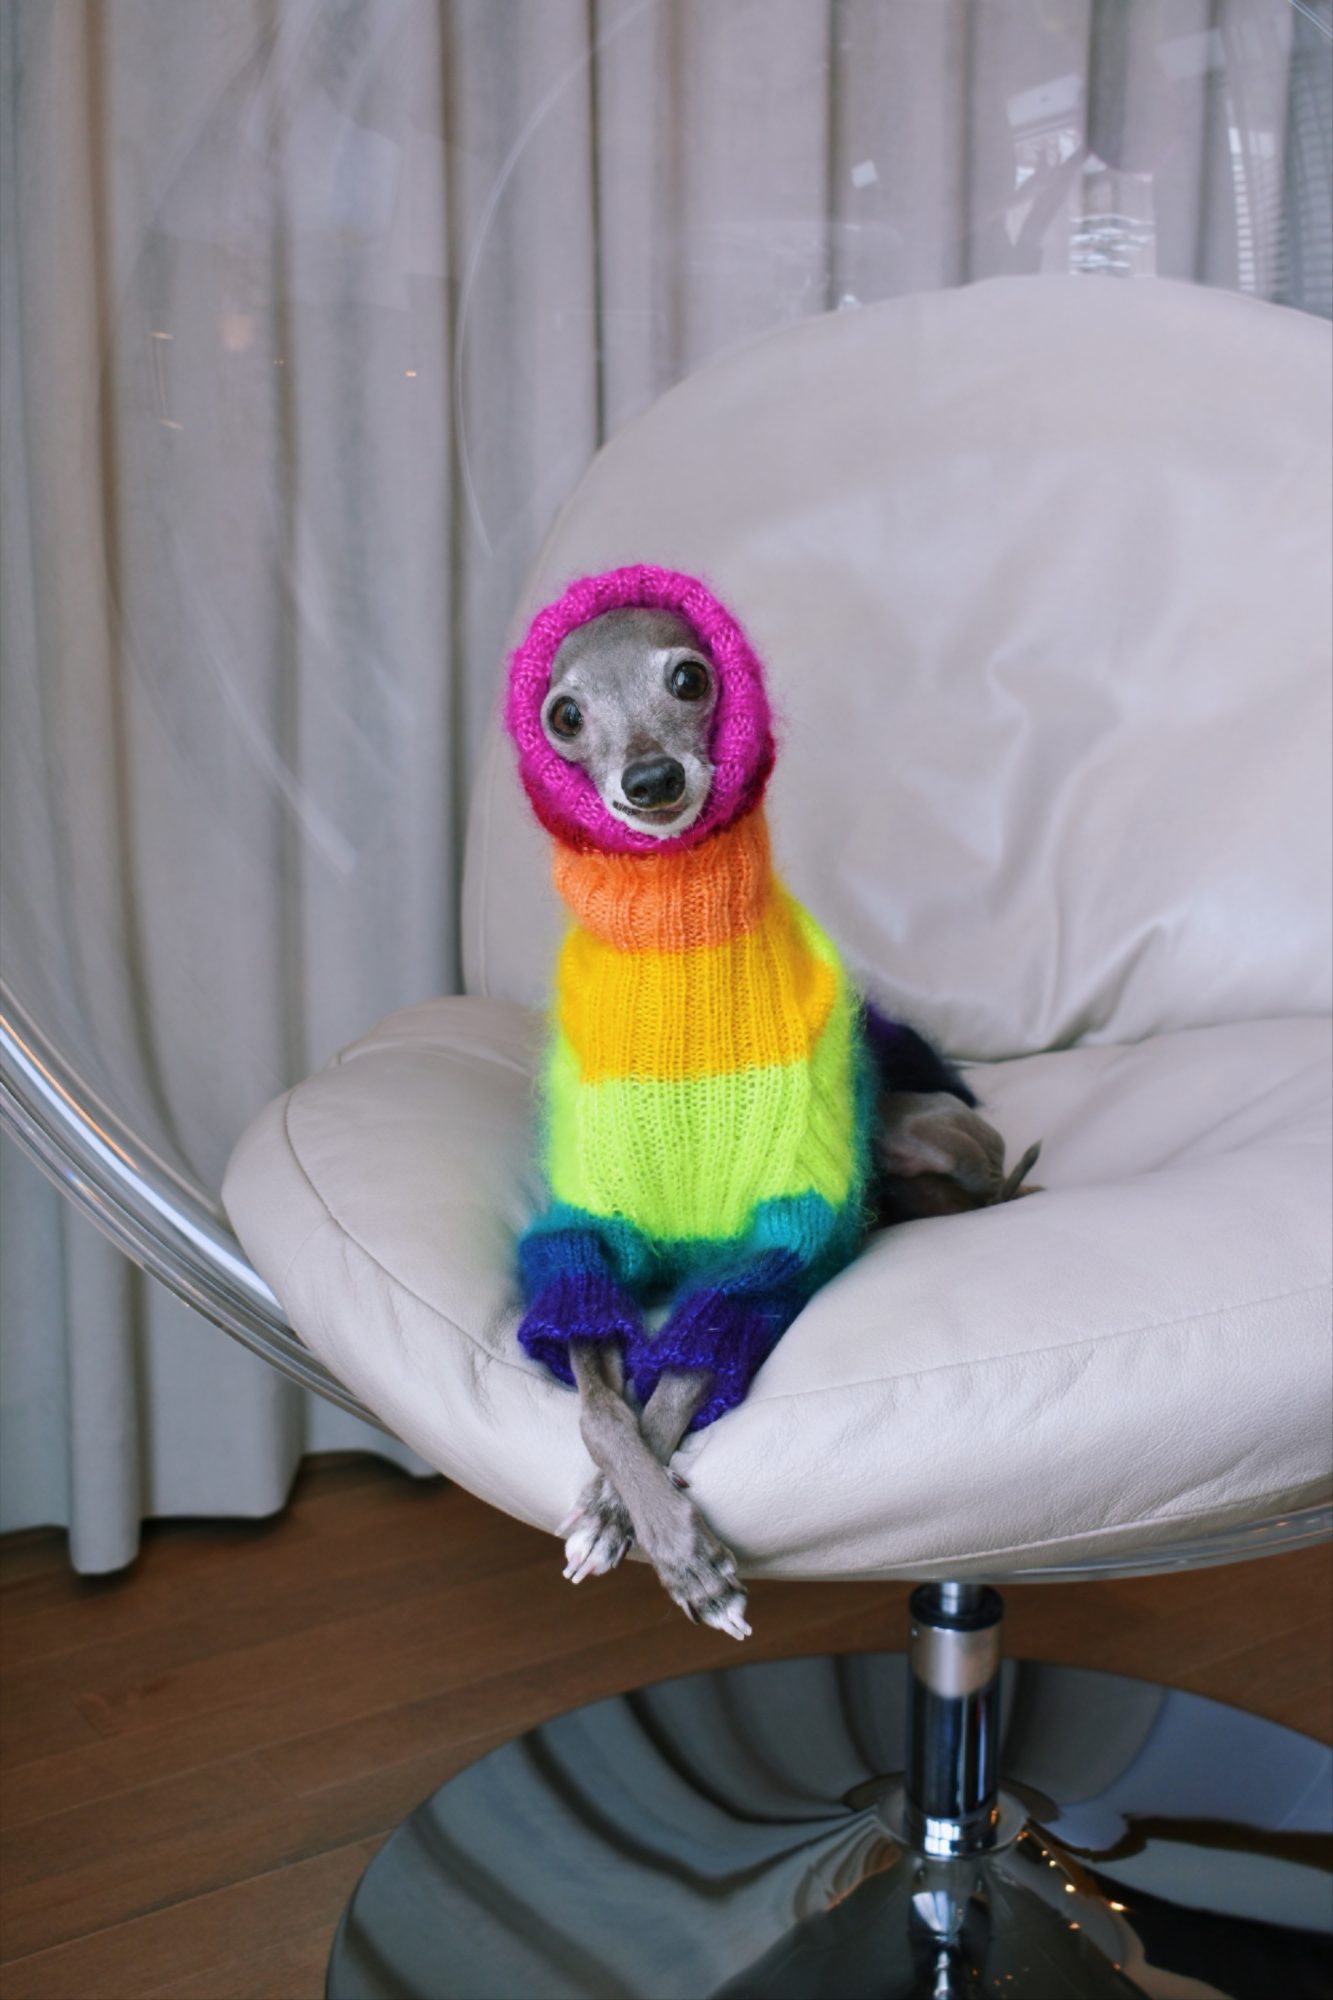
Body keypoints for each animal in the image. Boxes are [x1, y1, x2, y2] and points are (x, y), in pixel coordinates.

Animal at [504, 568, 1032, 1640]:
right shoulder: (582, 1235)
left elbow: (675, 1381)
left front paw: (660, 1538)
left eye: (688, 677)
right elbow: (599, 1404)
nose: (651, 782)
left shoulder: (779, 1233)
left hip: (933, 1129)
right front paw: (626, 1510)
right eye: (564, 715)